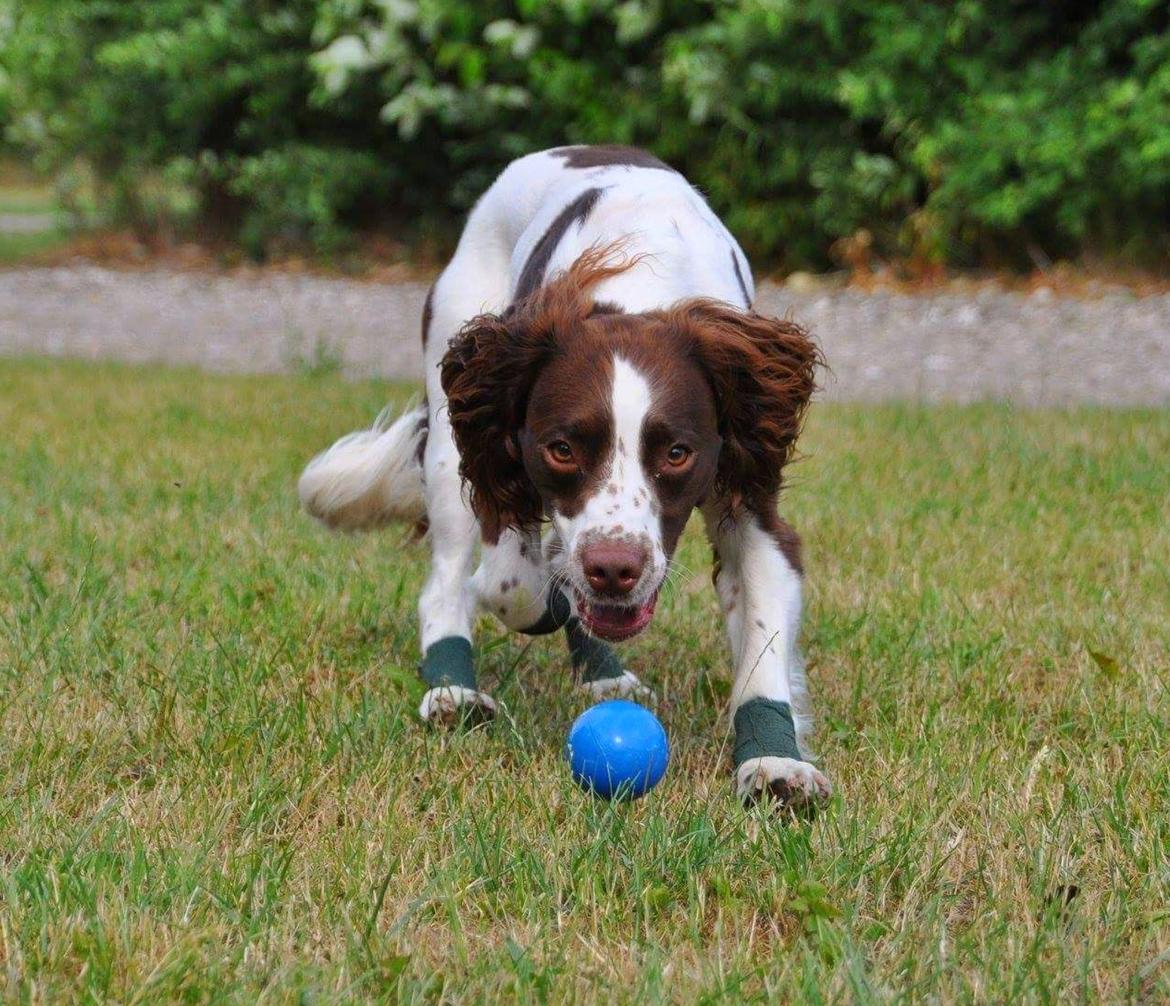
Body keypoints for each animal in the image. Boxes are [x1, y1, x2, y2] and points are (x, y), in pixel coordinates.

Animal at [301, 145, 833, 809]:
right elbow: (512, 584)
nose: (614, 568)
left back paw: (602, 673)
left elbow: (763, 625)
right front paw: (541, 602)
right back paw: (453, 691)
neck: (638, 284)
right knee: (449, 575)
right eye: (560, 448)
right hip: (449, 432)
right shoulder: (495, 442)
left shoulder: (747, 470)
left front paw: (774, 763)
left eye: (677, 453)